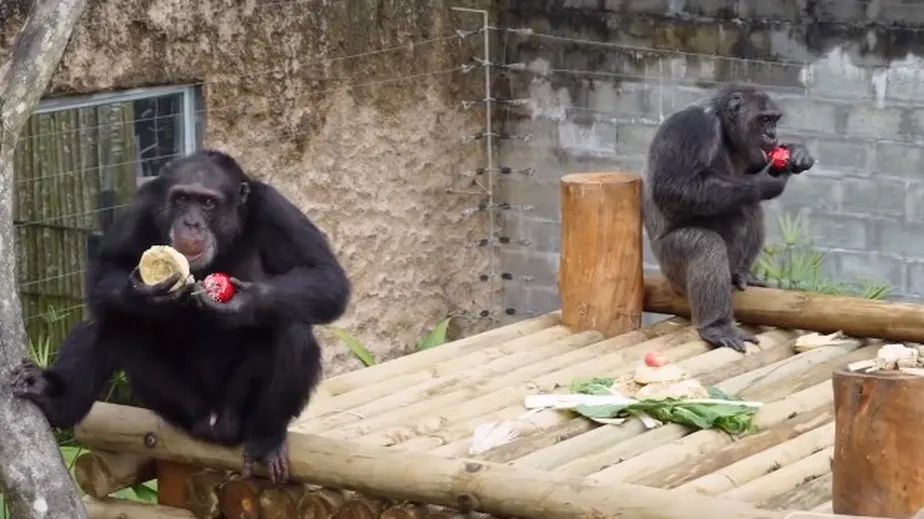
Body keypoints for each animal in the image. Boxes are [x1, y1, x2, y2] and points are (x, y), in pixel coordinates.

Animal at [9, 149, 348, 484]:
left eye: (207, 203)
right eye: (183, 199)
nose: (191, 222)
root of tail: (213, 423)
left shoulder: (275, 210)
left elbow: (327, 277)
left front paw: (243, 302)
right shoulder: (142, 206)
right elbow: (106, 267)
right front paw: (143, 294)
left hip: (236, 411)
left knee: (289, 324)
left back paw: (267, 439)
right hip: (175, 404)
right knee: (112, 317)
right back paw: (52, 397)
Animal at [644, 82, 816, 354]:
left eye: (774, 120)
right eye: (764, 119)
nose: (772, 133)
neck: (723, 127)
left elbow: (753, 166)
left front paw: (797, 152)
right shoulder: (692, 126)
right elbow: (676, 186)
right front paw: (767, 181)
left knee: (750, 205)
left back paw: (743, 274)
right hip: (671, 266)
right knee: (706, 246)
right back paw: (716, 326)